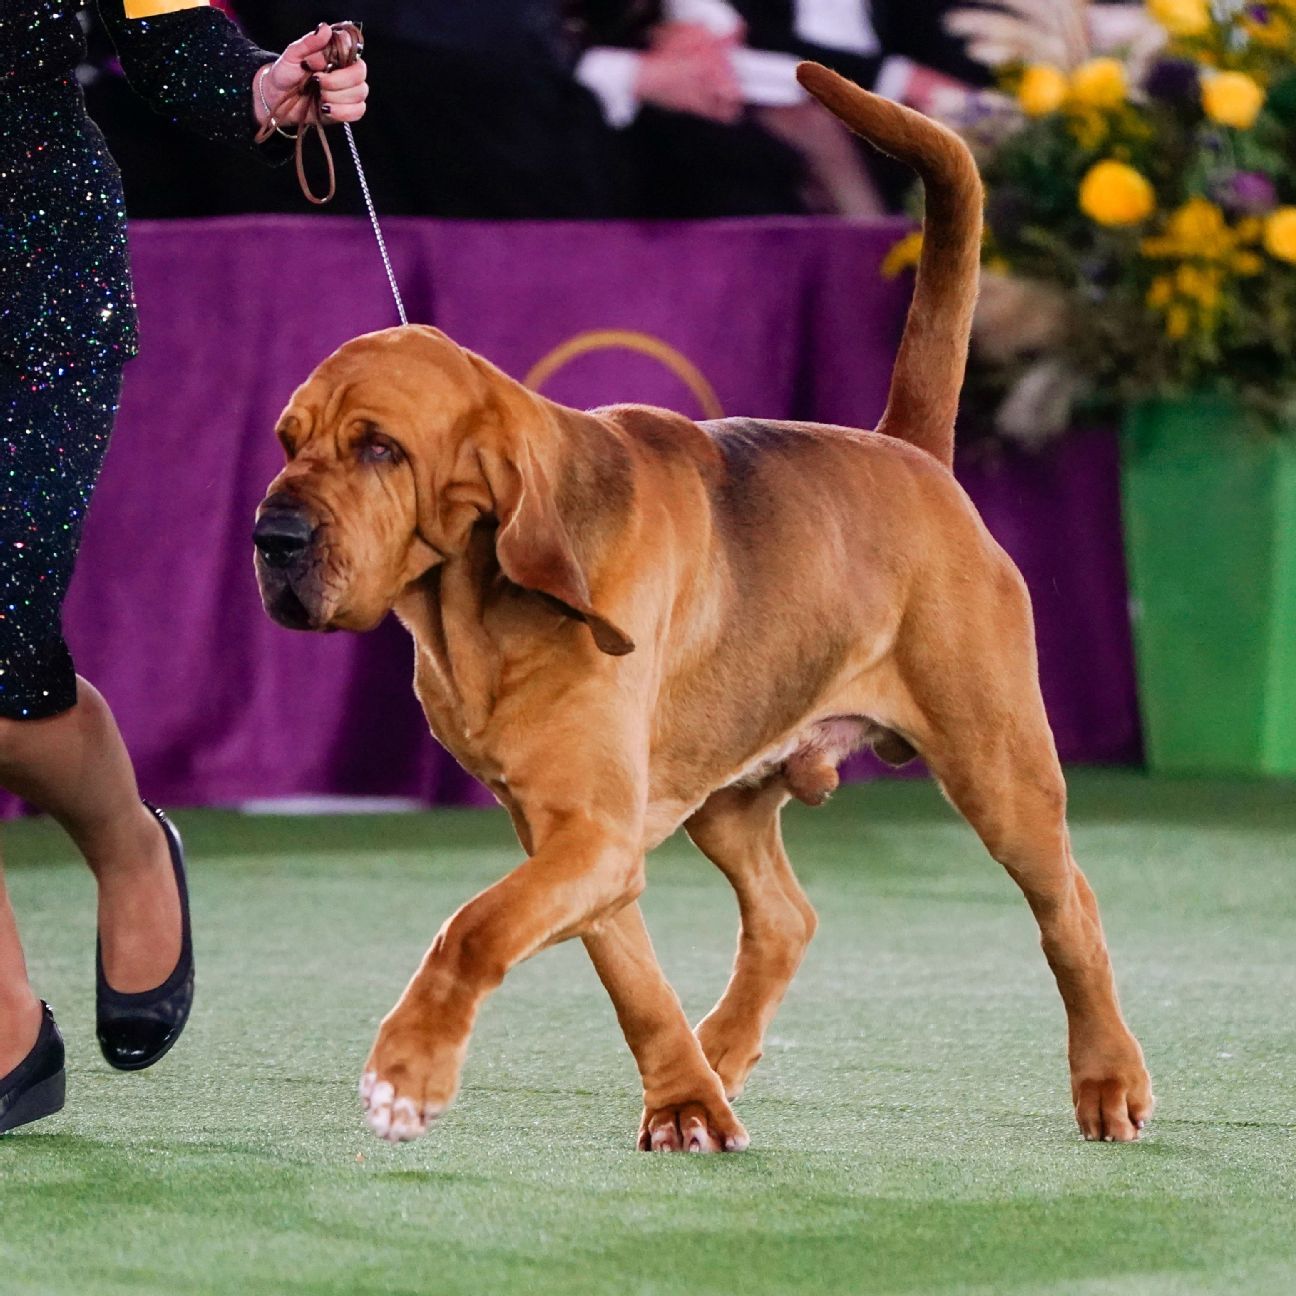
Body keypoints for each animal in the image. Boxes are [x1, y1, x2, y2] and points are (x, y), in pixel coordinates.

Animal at [252, 65, 1156, 1150]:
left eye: (380, 448)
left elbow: (468, 929)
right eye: (287, 440)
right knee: (785, 919)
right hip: (729, 789)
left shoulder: (591, 833)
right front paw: (683, 1099)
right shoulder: (572, 837)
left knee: (1072, 911)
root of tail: (908, 452)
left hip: (1000, 769)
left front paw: (408, 1070)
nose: (272, 538)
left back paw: (1108, 1080)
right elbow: (627, 973)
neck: (479, 606)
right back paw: (718, 1056)